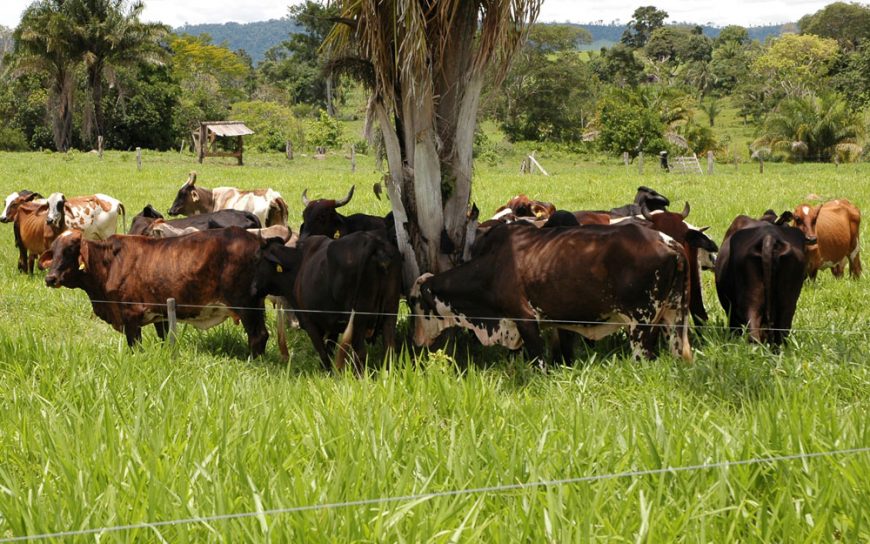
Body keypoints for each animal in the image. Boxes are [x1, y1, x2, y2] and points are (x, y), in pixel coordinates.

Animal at [250, 230, 404, 374]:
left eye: (257, 259)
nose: (252, 288)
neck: (298, 265)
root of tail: (373, 241)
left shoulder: (308, 320)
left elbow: (323, 351)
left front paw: (328, 372)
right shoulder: (333, 324)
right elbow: (329, 347)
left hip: (358, 319)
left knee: (360, 353)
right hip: (390, 312)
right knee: (389, 349)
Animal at [410, 221, 696, 362]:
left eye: (415, 303)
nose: (416, 341)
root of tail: (668, 242)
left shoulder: (525, 320)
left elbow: (539, 361)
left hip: (641, 325)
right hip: (673, 318)